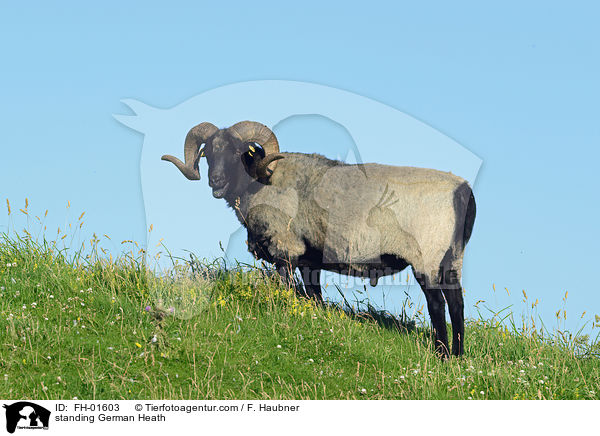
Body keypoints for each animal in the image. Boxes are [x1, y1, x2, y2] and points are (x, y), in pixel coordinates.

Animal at [162, 120, 476, 358]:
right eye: (208, 153)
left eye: (239, 152)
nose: (215, 181)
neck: (261, 182)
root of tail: (462, 192)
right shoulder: (308, 260)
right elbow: (314, 298)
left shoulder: (285, 249)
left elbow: (287, 289)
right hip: (453, 257)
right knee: (456, 301)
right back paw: (458, 356)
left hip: (426, 256)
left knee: (437, 304)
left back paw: (442, 354)